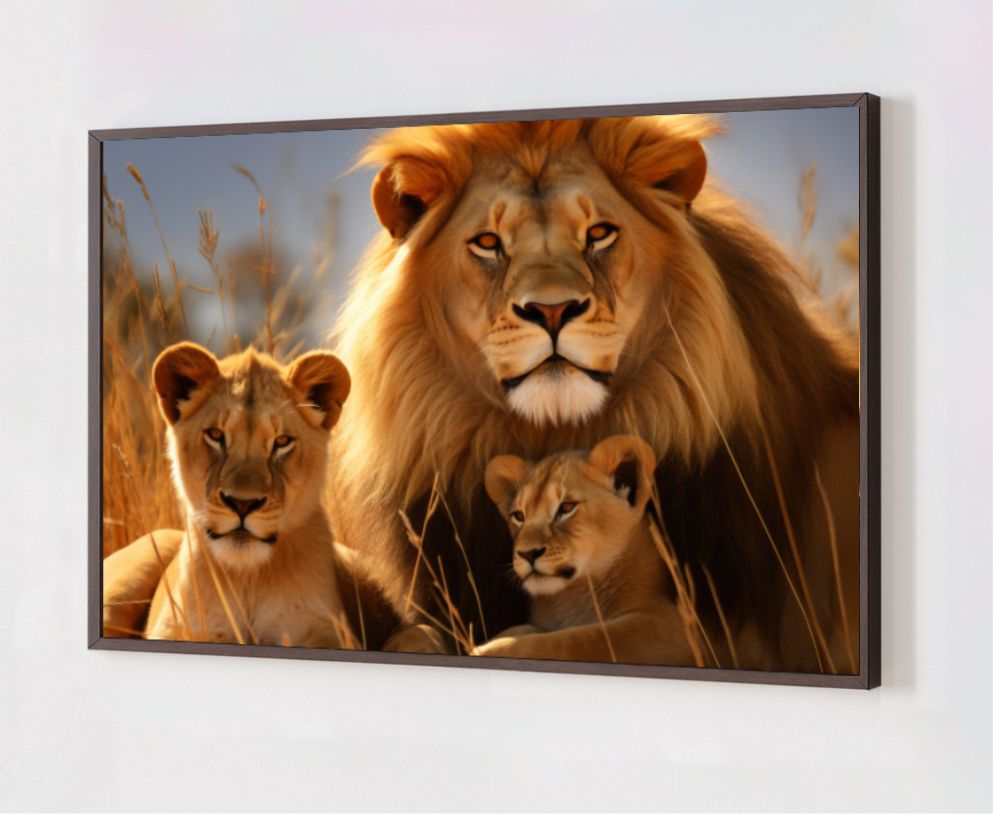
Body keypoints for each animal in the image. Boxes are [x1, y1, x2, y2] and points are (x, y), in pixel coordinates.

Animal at [473, 435, 696, 665]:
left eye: (566, 507)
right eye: (518, 515)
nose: (526, 554)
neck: (570, 597)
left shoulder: (670, 626)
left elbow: (580, 638)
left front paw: (490, 649)